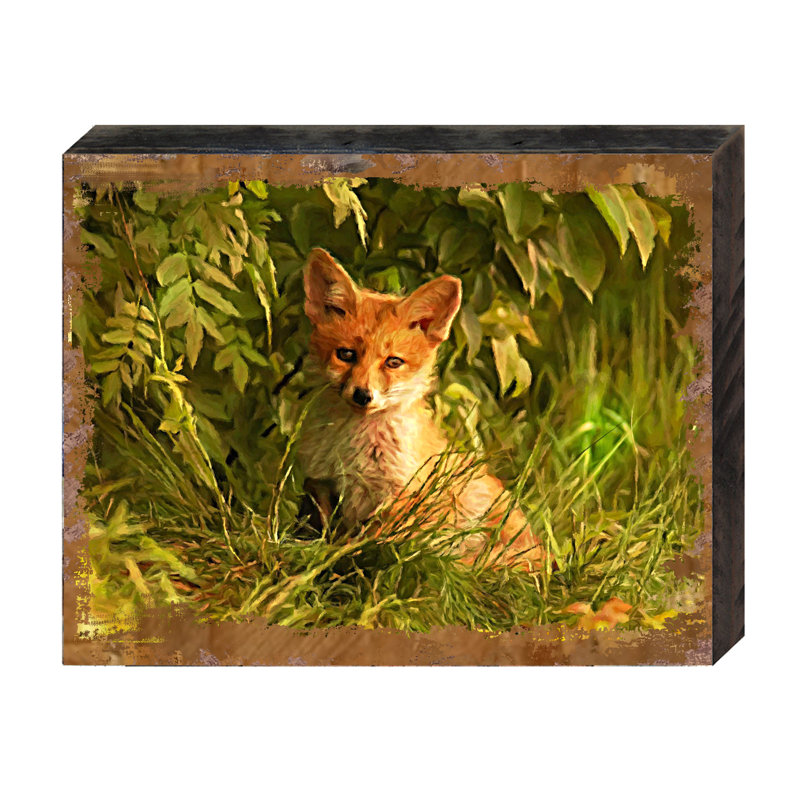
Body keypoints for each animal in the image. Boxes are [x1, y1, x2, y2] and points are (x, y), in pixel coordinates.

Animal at [297, 248, 543, 571]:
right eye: (346, 354)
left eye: (393, 362)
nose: (363, 395)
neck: (353, 450)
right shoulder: (321, 483)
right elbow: (325, 532)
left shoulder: (400, 495)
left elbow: (373, 544)